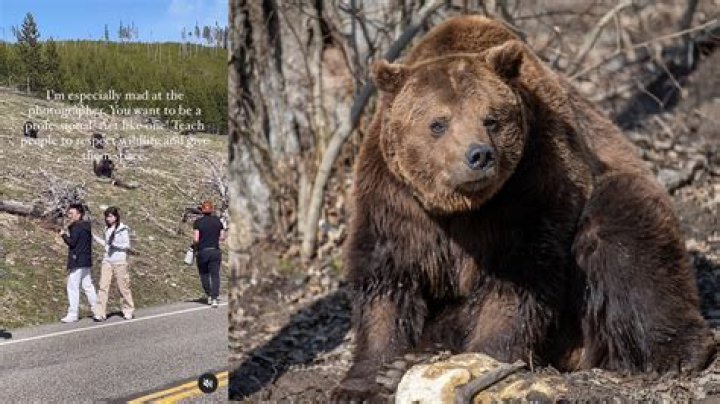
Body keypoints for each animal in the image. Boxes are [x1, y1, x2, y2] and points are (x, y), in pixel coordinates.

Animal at [332, 15, 716, 401]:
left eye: (491, 119)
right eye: (437, 123)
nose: (479, 155)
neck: (460, 208)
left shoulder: (529, 186)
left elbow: (519, 279)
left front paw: (487, 358)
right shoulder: (395, 203)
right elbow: (385, 280)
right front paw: (369, 378)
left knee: (628, 237)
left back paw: (680, 352)